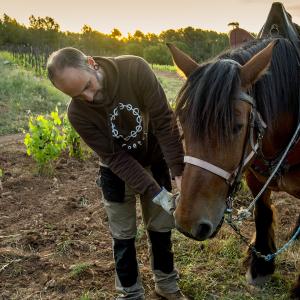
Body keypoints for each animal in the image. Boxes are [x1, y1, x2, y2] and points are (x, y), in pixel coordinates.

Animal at [169, 37, 300, 298]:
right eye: (183, 122)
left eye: (237, 126)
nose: (187, 223)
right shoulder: (255, 177)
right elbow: (263, 213)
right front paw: (261, 264)